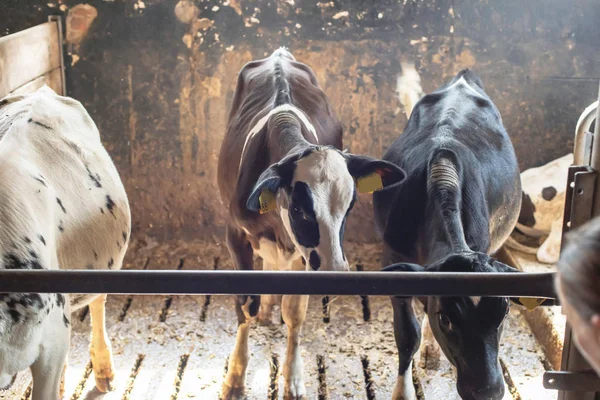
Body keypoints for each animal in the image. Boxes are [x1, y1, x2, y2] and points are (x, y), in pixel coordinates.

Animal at [218, 48, 406, 398]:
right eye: (300, 209)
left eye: (350, 206)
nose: (335, 272)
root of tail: (279, 55)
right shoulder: (235, 234)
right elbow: (245, 303)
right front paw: (235, 377)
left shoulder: (301, 256)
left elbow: (294, 311)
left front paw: (292, 378)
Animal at [372, 69, 524, 400]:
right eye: (446, 318)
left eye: (505, 312)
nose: (488, 391)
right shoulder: (393, 262)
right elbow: (407, 335)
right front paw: (402, 391)